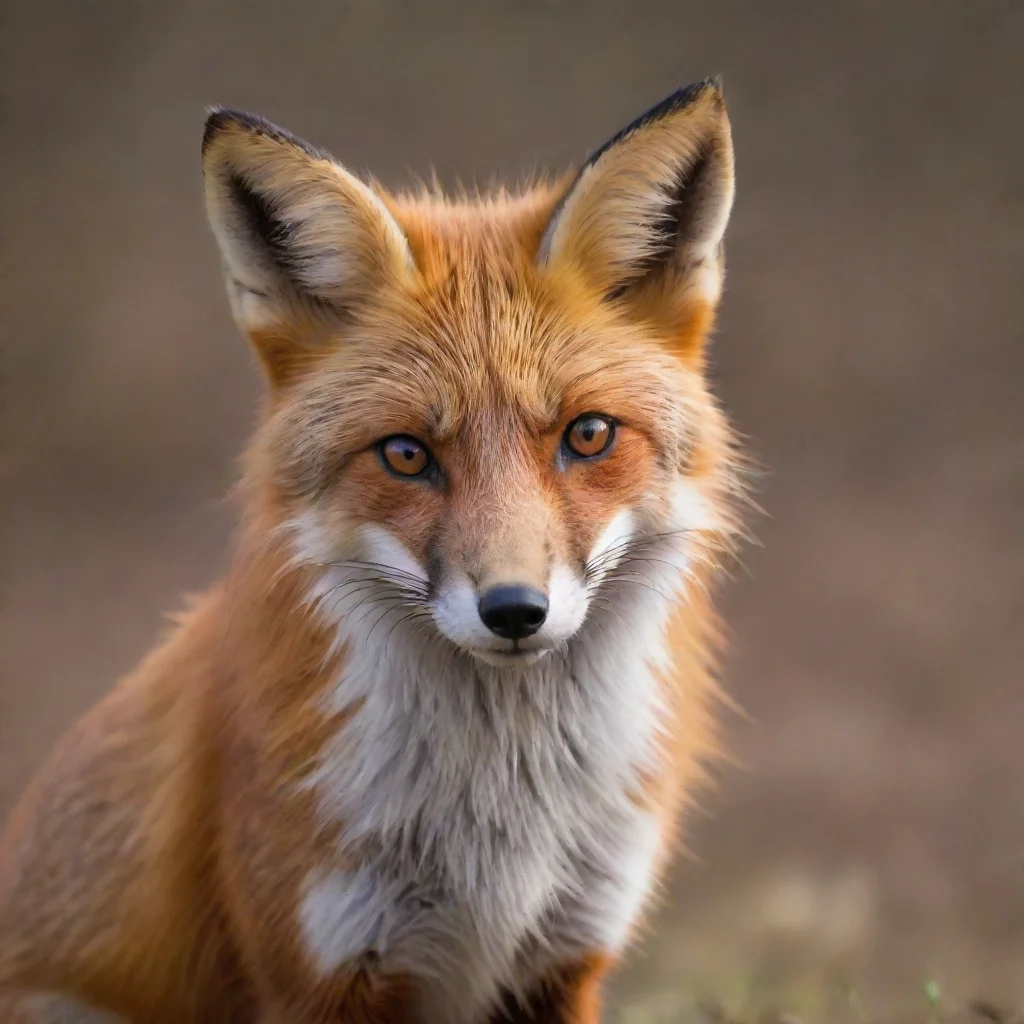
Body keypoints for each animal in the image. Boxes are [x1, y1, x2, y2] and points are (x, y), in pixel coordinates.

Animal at [0, 79, 747, 1023]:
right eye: (405, 454)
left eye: (588, 435)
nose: (514, 611)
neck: (501, 833)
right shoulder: (320, 968)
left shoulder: (566, 957)